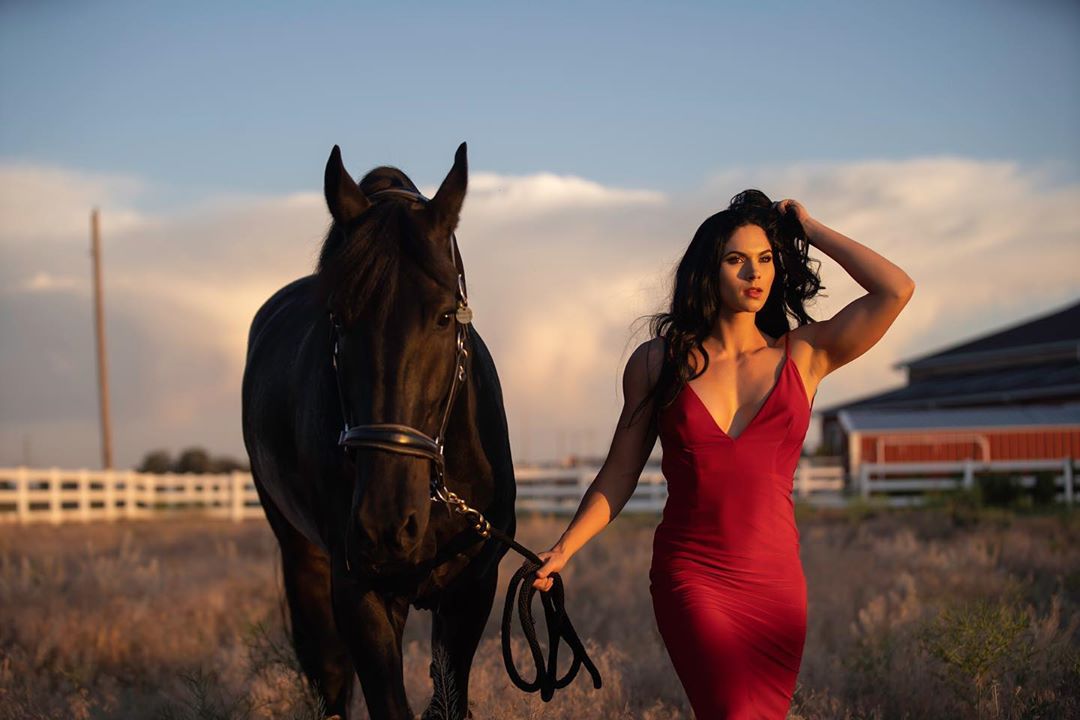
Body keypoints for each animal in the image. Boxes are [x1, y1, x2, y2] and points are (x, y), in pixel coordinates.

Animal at [241, 142, 518, 720]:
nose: (384, 525)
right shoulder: (359, 592)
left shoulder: (473, 588)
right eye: (338, 318)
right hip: (300, 555)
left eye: (444, 316)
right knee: (327, 672)